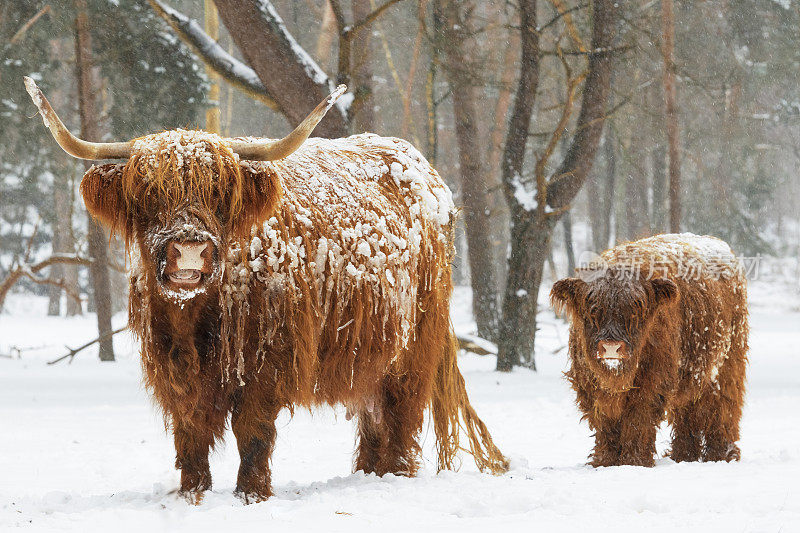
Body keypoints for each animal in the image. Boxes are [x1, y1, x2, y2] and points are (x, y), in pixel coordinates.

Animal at [29, 77, 512, 500]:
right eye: (148, 193)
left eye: (221, 194)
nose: (189, 250)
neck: (195, 317)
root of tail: (423, 169)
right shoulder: (174, 369)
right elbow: (190, 433)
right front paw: (193, 493)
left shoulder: (269, 360)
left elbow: (254, 431)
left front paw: (252, 494)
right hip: (370, 352)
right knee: (373, 416)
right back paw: (368, 473)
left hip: (413, 347)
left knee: (400, 414)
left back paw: (394, 476)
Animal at [552, 235, 752, 468]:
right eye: (593, 309)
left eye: (634, 310)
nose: (611, 347)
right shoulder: (590, 386)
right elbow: (606, 426)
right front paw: (604, 462)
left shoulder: (652, 382)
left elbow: (638, 421)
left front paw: (634, 462)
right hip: (691, 374)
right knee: (687, 413)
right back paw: (683, 456)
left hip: (727, 363)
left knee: (723, 407)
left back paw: (722, 455)